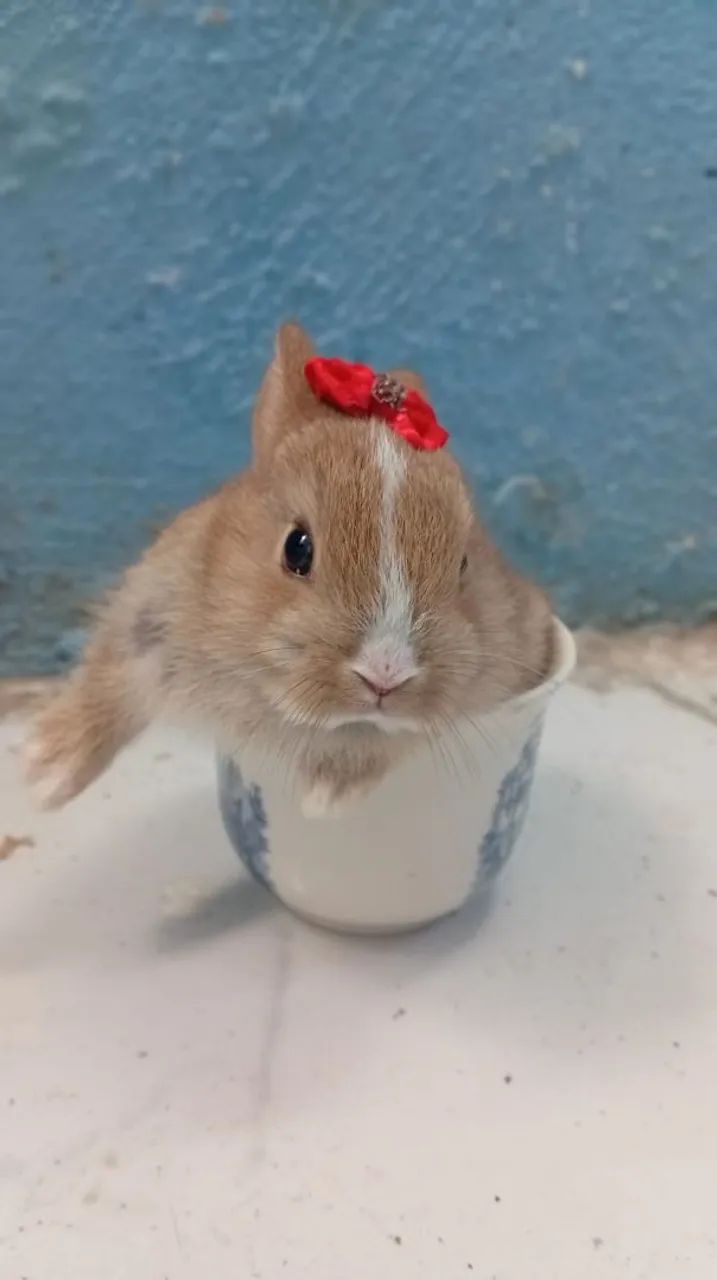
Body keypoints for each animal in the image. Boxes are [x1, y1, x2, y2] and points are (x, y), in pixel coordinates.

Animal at [25, 322, 554, 818]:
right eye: (297, 548)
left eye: (463, 563)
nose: (386, 674)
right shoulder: (151, 610)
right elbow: (111, 676)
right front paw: (45, 769)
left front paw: (326, 798)